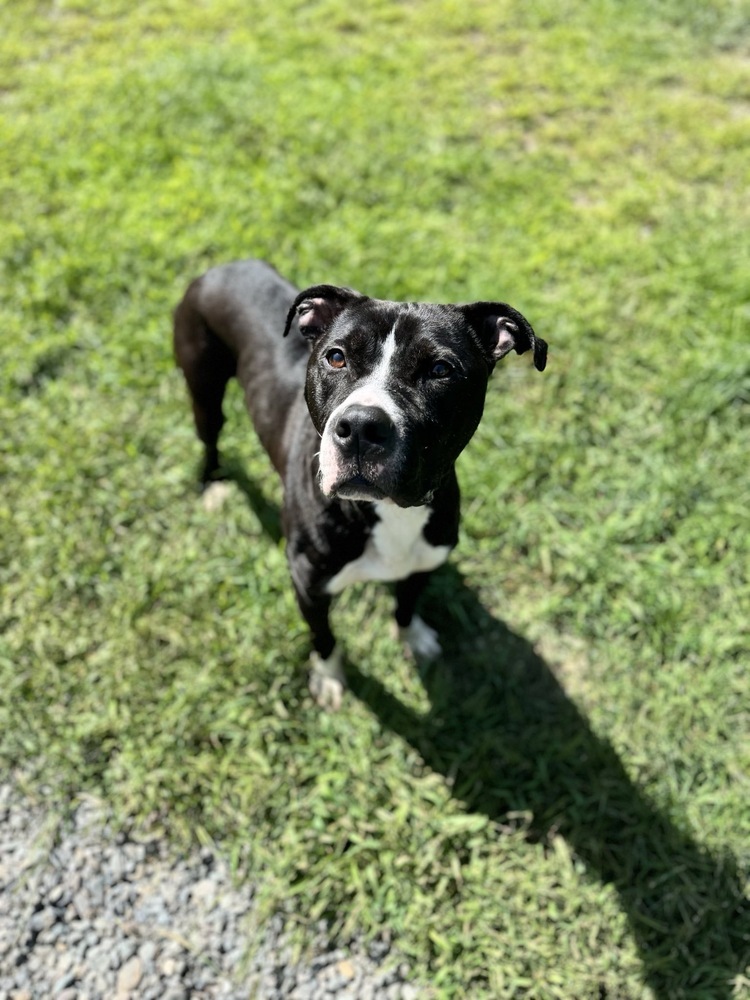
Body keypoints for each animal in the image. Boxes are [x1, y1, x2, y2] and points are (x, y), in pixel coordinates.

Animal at [173, 262, 548, 708]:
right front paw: (329, 678)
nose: (361, 426)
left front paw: (413, 636)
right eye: (336, 358)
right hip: (204, 388)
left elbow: (407, 602)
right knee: (210, 435)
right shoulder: (308, 583)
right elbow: (324, 637)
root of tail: (223, 266)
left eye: (440, 370)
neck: (390, 511)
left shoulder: (425, 559)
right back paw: (213, 485)